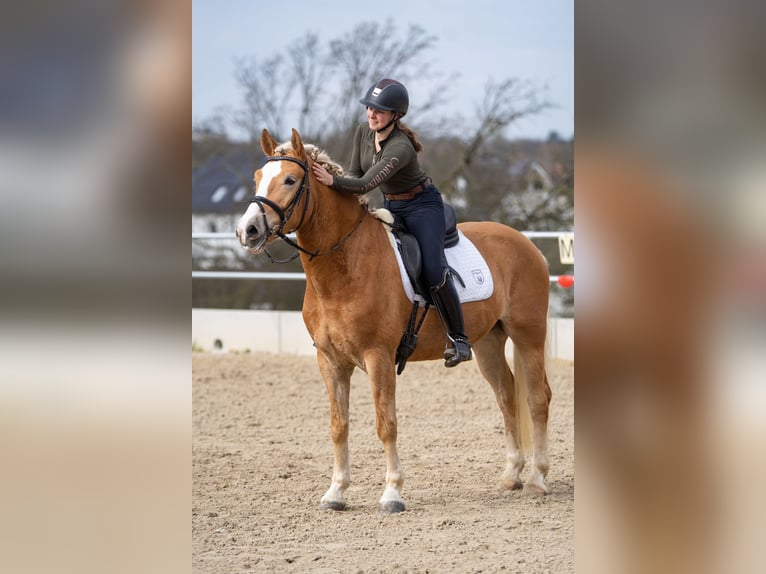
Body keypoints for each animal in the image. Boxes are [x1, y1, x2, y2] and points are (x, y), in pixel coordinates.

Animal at [236, 128, 552, 513]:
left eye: (290, 180)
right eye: (257, 178)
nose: (248, 230)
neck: (344, 264)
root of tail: (526, 243)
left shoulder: (379, 357)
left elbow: (385, 423)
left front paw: (392, 494)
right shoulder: (330, 361)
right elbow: (338, 425)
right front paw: (336, 492)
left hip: (528, 336)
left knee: (537, 398)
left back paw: (537, 479)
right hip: (488, 342)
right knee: (507, 396)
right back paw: (511, 475)